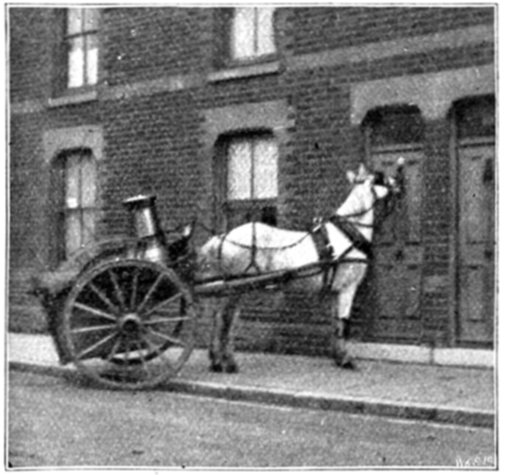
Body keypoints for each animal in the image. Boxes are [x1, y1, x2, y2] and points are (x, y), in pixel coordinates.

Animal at [196, 159, 405, 373]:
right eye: (380, 177)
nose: (399, 182)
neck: (347, 233)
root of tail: (223, 237)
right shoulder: (348, 288)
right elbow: (344, 323)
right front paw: (346, 359)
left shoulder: (335, 290)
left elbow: (335, 323)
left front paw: (338, 357)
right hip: (237, 289)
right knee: (226, 320)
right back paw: (227, 361)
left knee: (220, 317)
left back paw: (216, 360)